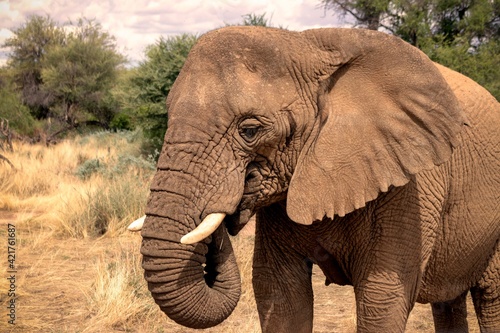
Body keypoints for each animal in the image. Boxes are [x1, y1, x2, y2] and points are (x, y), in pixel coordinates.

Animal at [132, 26, 500, 332]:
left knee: (491, 297)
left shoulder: (411, 187)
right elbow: (279, 292)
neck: (307, 45)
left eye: (249, 130)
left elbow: (383, 297)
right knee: (449, 302)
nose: (227, 208)